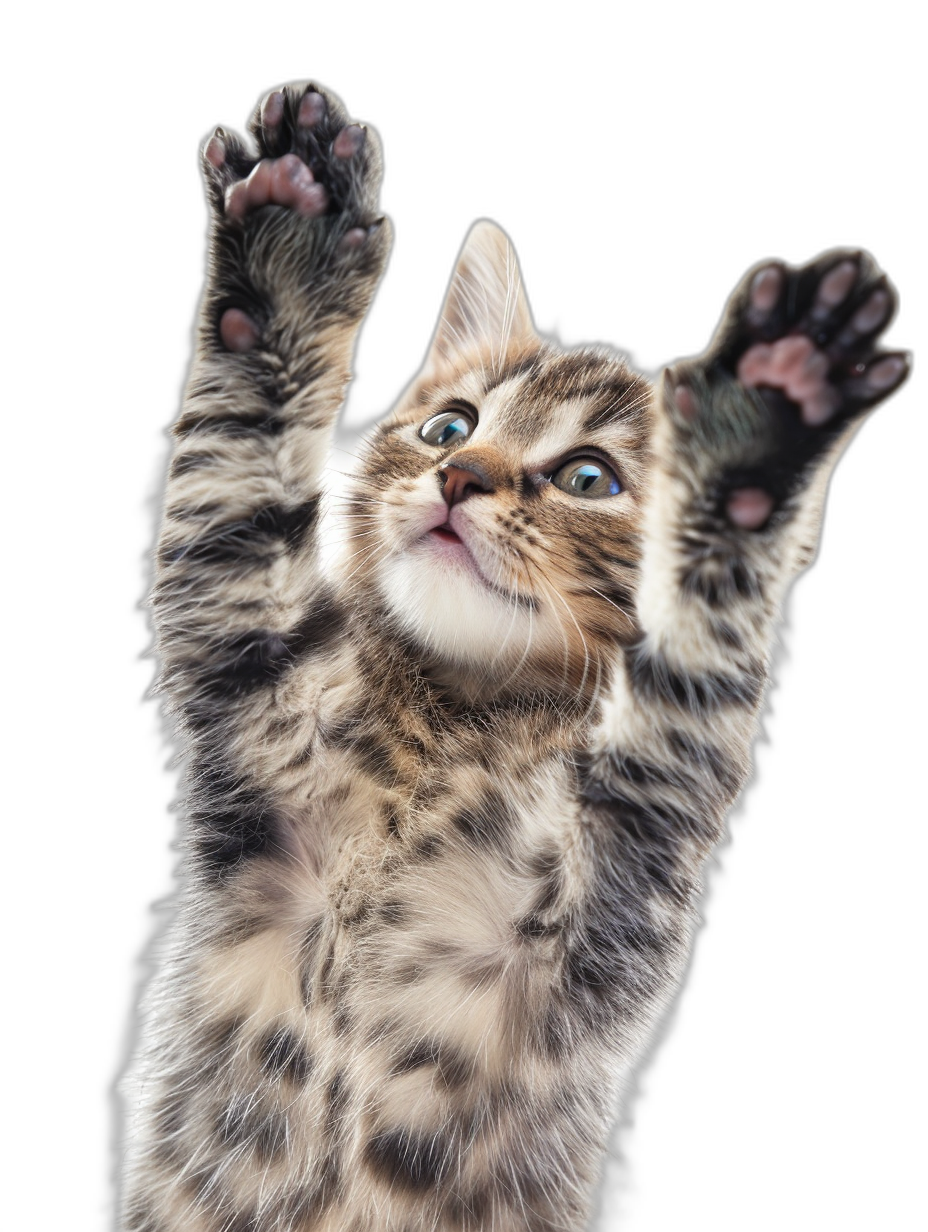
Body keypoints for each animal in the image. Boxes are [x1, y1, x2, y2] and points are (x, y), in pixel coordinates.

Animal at [113, 79, 907, 1232]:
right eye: (450, 425)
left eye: (588, 478)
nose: (459, 476)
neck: (457, 717)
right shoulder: (240, 664)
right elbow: (231, 464)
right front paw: (286, 246)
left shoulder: (621, 870)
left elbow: (684, 677)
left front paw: (759, 430)